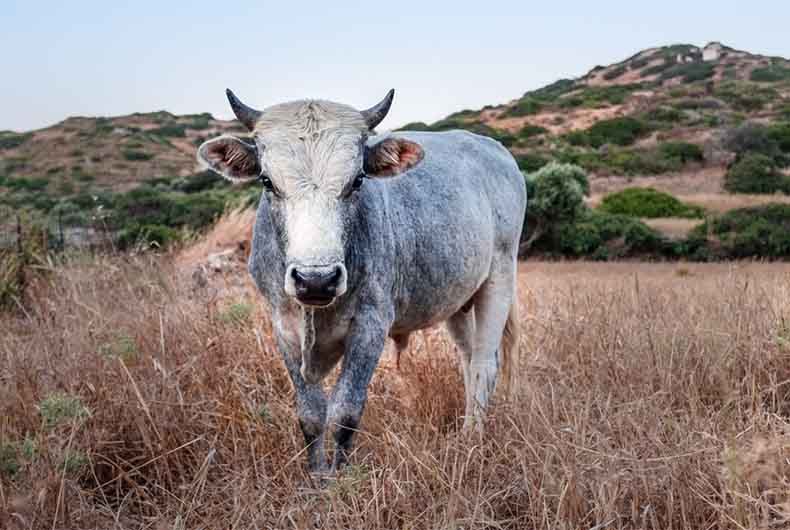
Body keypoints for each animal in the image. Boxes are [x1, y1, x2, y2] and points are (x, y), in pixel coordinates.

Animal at [197, 89, 527, 472]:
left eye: (357, 180)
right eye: (267, 181)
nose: (316, 280)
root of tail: (494, 149)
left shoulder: (371, 324)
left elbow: (344, 412)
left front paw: (340, 478)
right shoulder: (283, 328)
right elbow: (311, 414)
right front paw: (316, 477)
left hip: (500, 279)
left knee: (485, 365)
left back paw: (471, 439)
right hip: (458, 301)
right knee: (468, 360)